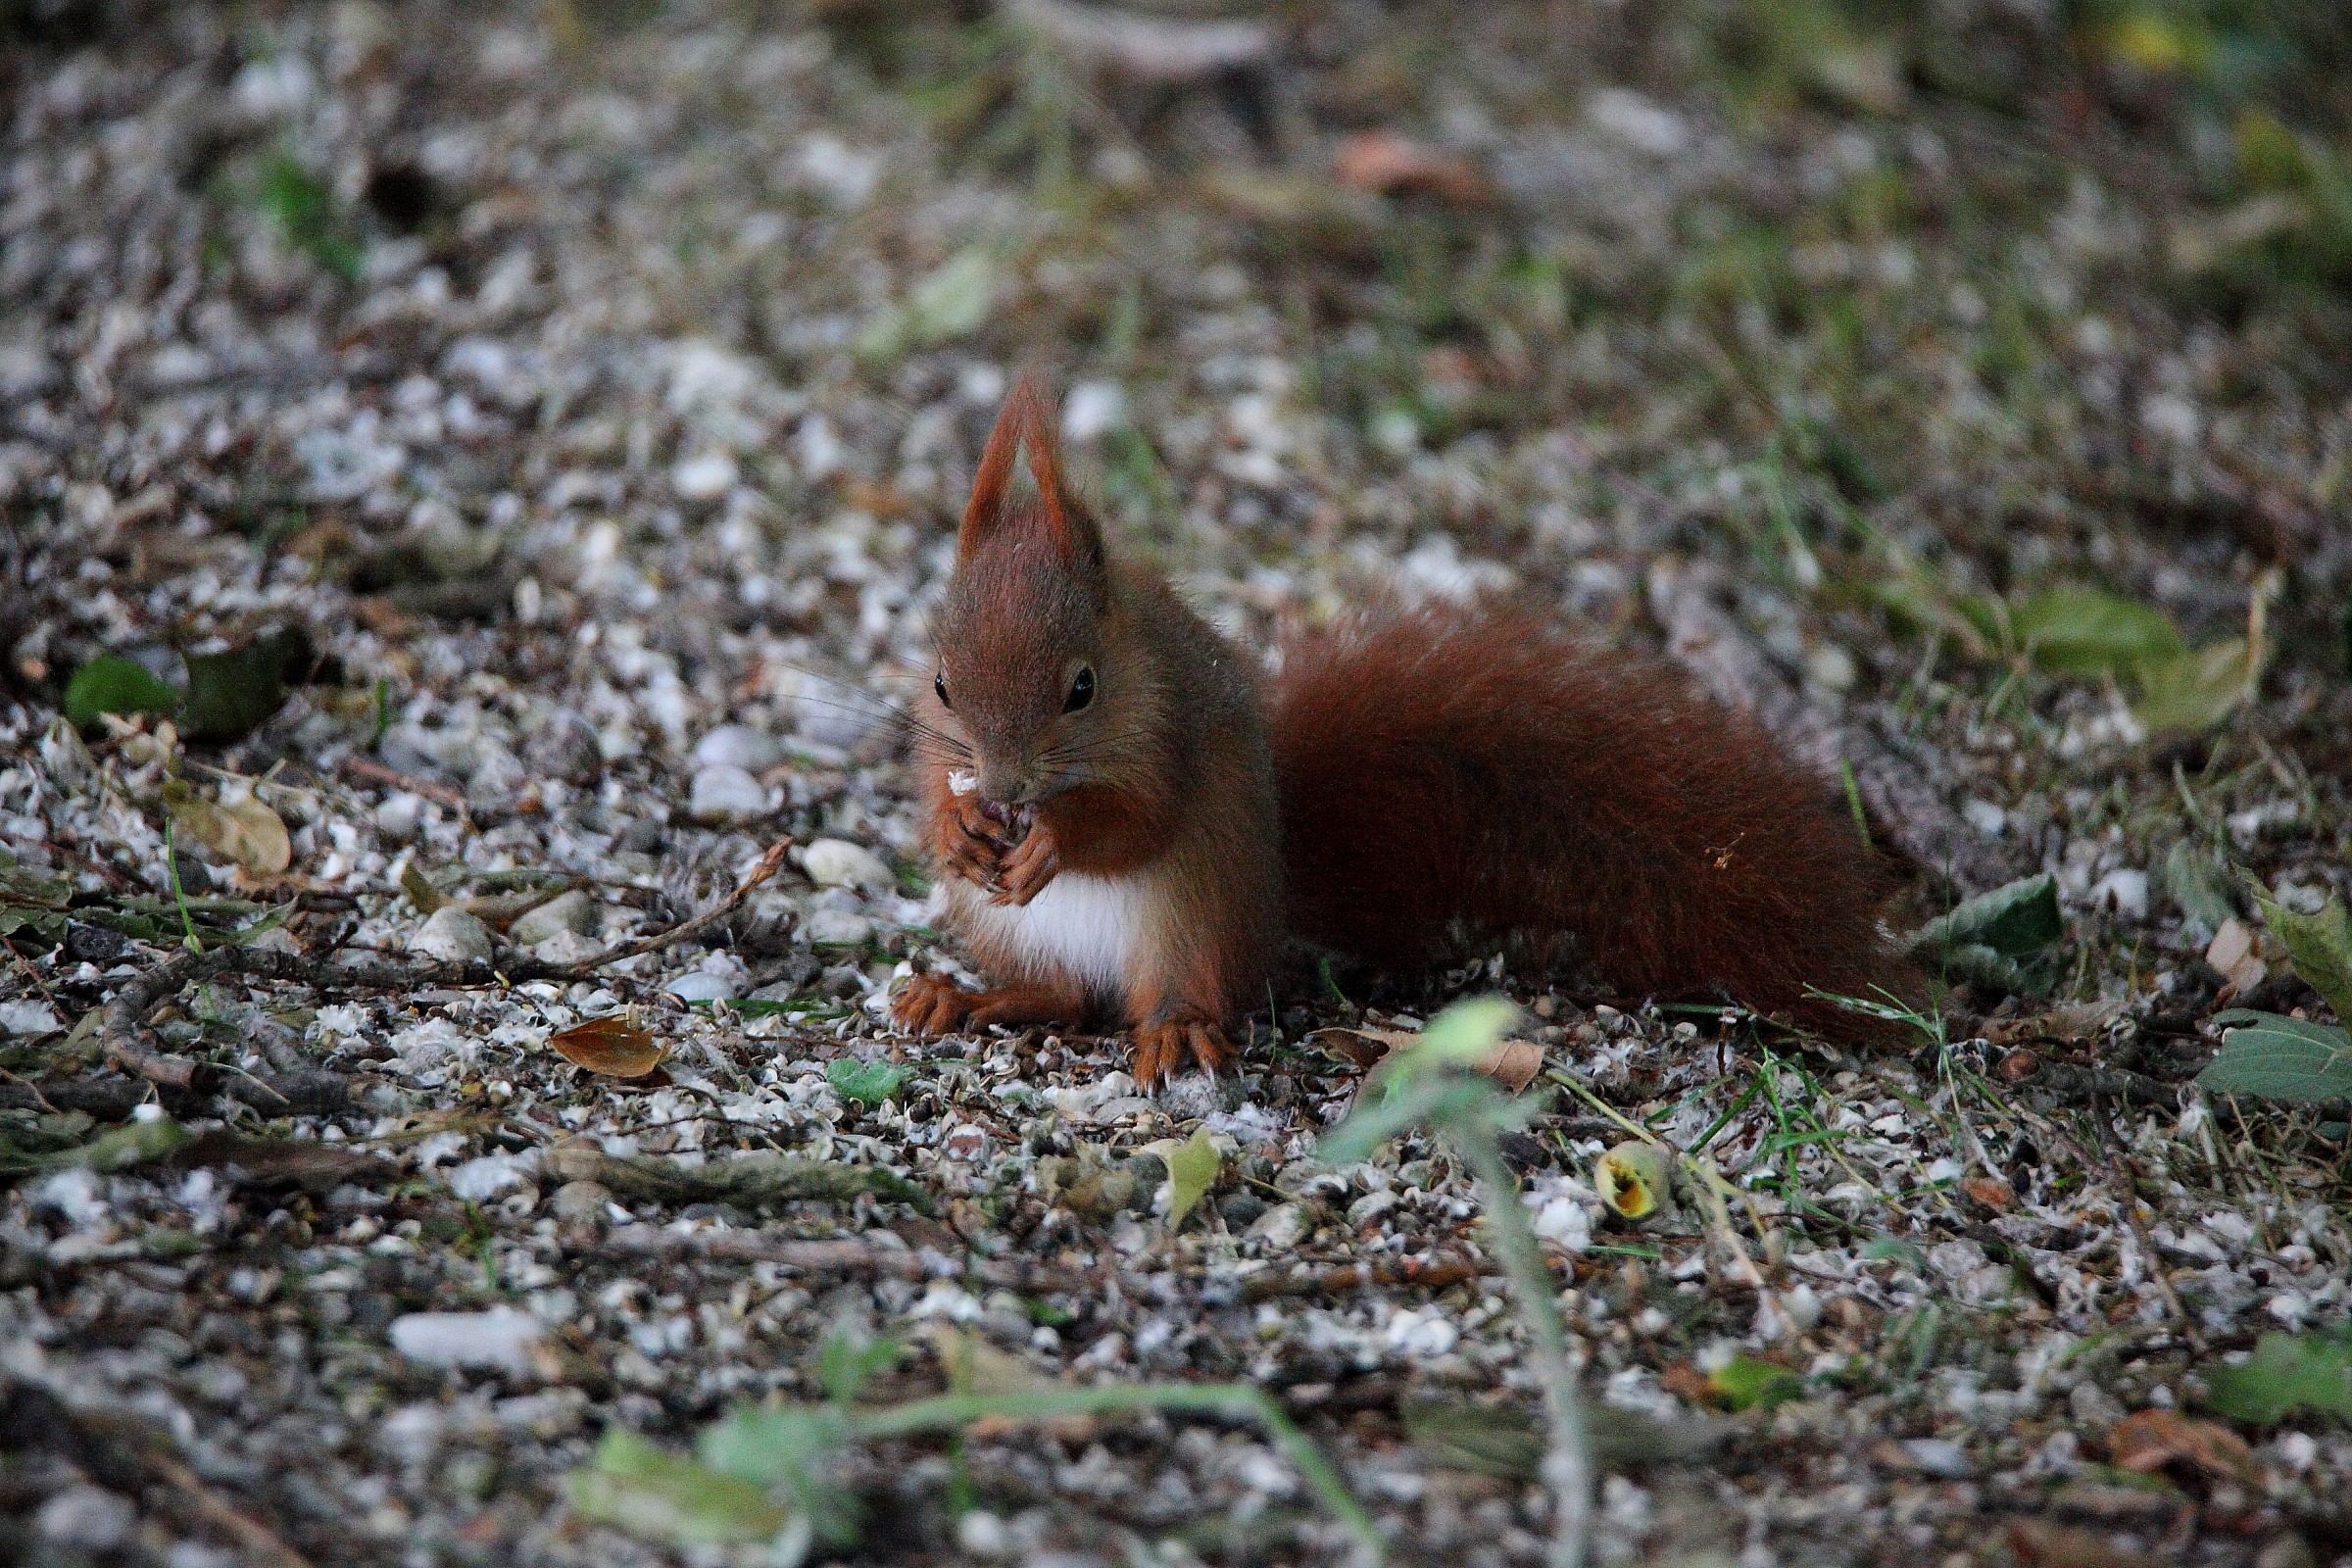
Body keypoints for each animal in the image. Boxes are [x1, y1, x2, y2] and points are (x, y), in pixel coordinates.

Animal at [891, 372, 1911, 1084]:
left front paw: (1053, 841)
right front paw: (959, 826)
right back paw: (963, 995)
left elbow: (1139, 819)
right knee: (1064, 995)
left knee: (1166, 995)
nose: (1003, 790)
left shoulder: (1168, 731)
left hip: (1193, 922)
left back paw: (1174, 1029)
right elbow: (927, 789)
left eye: (1083, 689)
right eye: (940, 682)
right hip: (1006, 928)